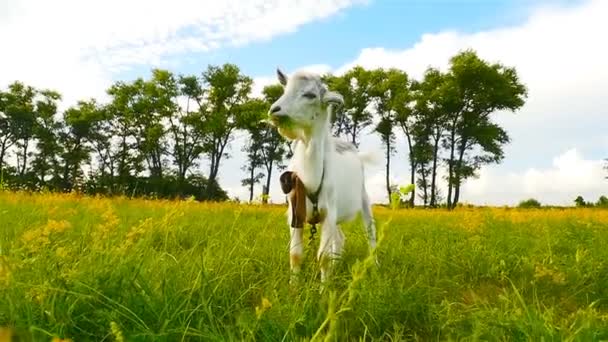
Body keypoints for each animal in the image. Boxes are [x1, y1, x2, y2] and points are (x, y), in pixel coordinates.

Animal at [268, 67, 378, 284]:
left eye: (310, 95)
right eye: (285, 90)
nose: (275, 110)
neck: (310, 179)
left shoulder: (328, 211)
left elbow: (323, 257)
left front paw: (324, 289)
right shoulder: (295, 213)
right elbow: (295, 255)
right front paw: (293, 288)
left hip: (363, 198)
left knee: (370, 231)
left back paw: (375, 264)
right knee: (340, 238)